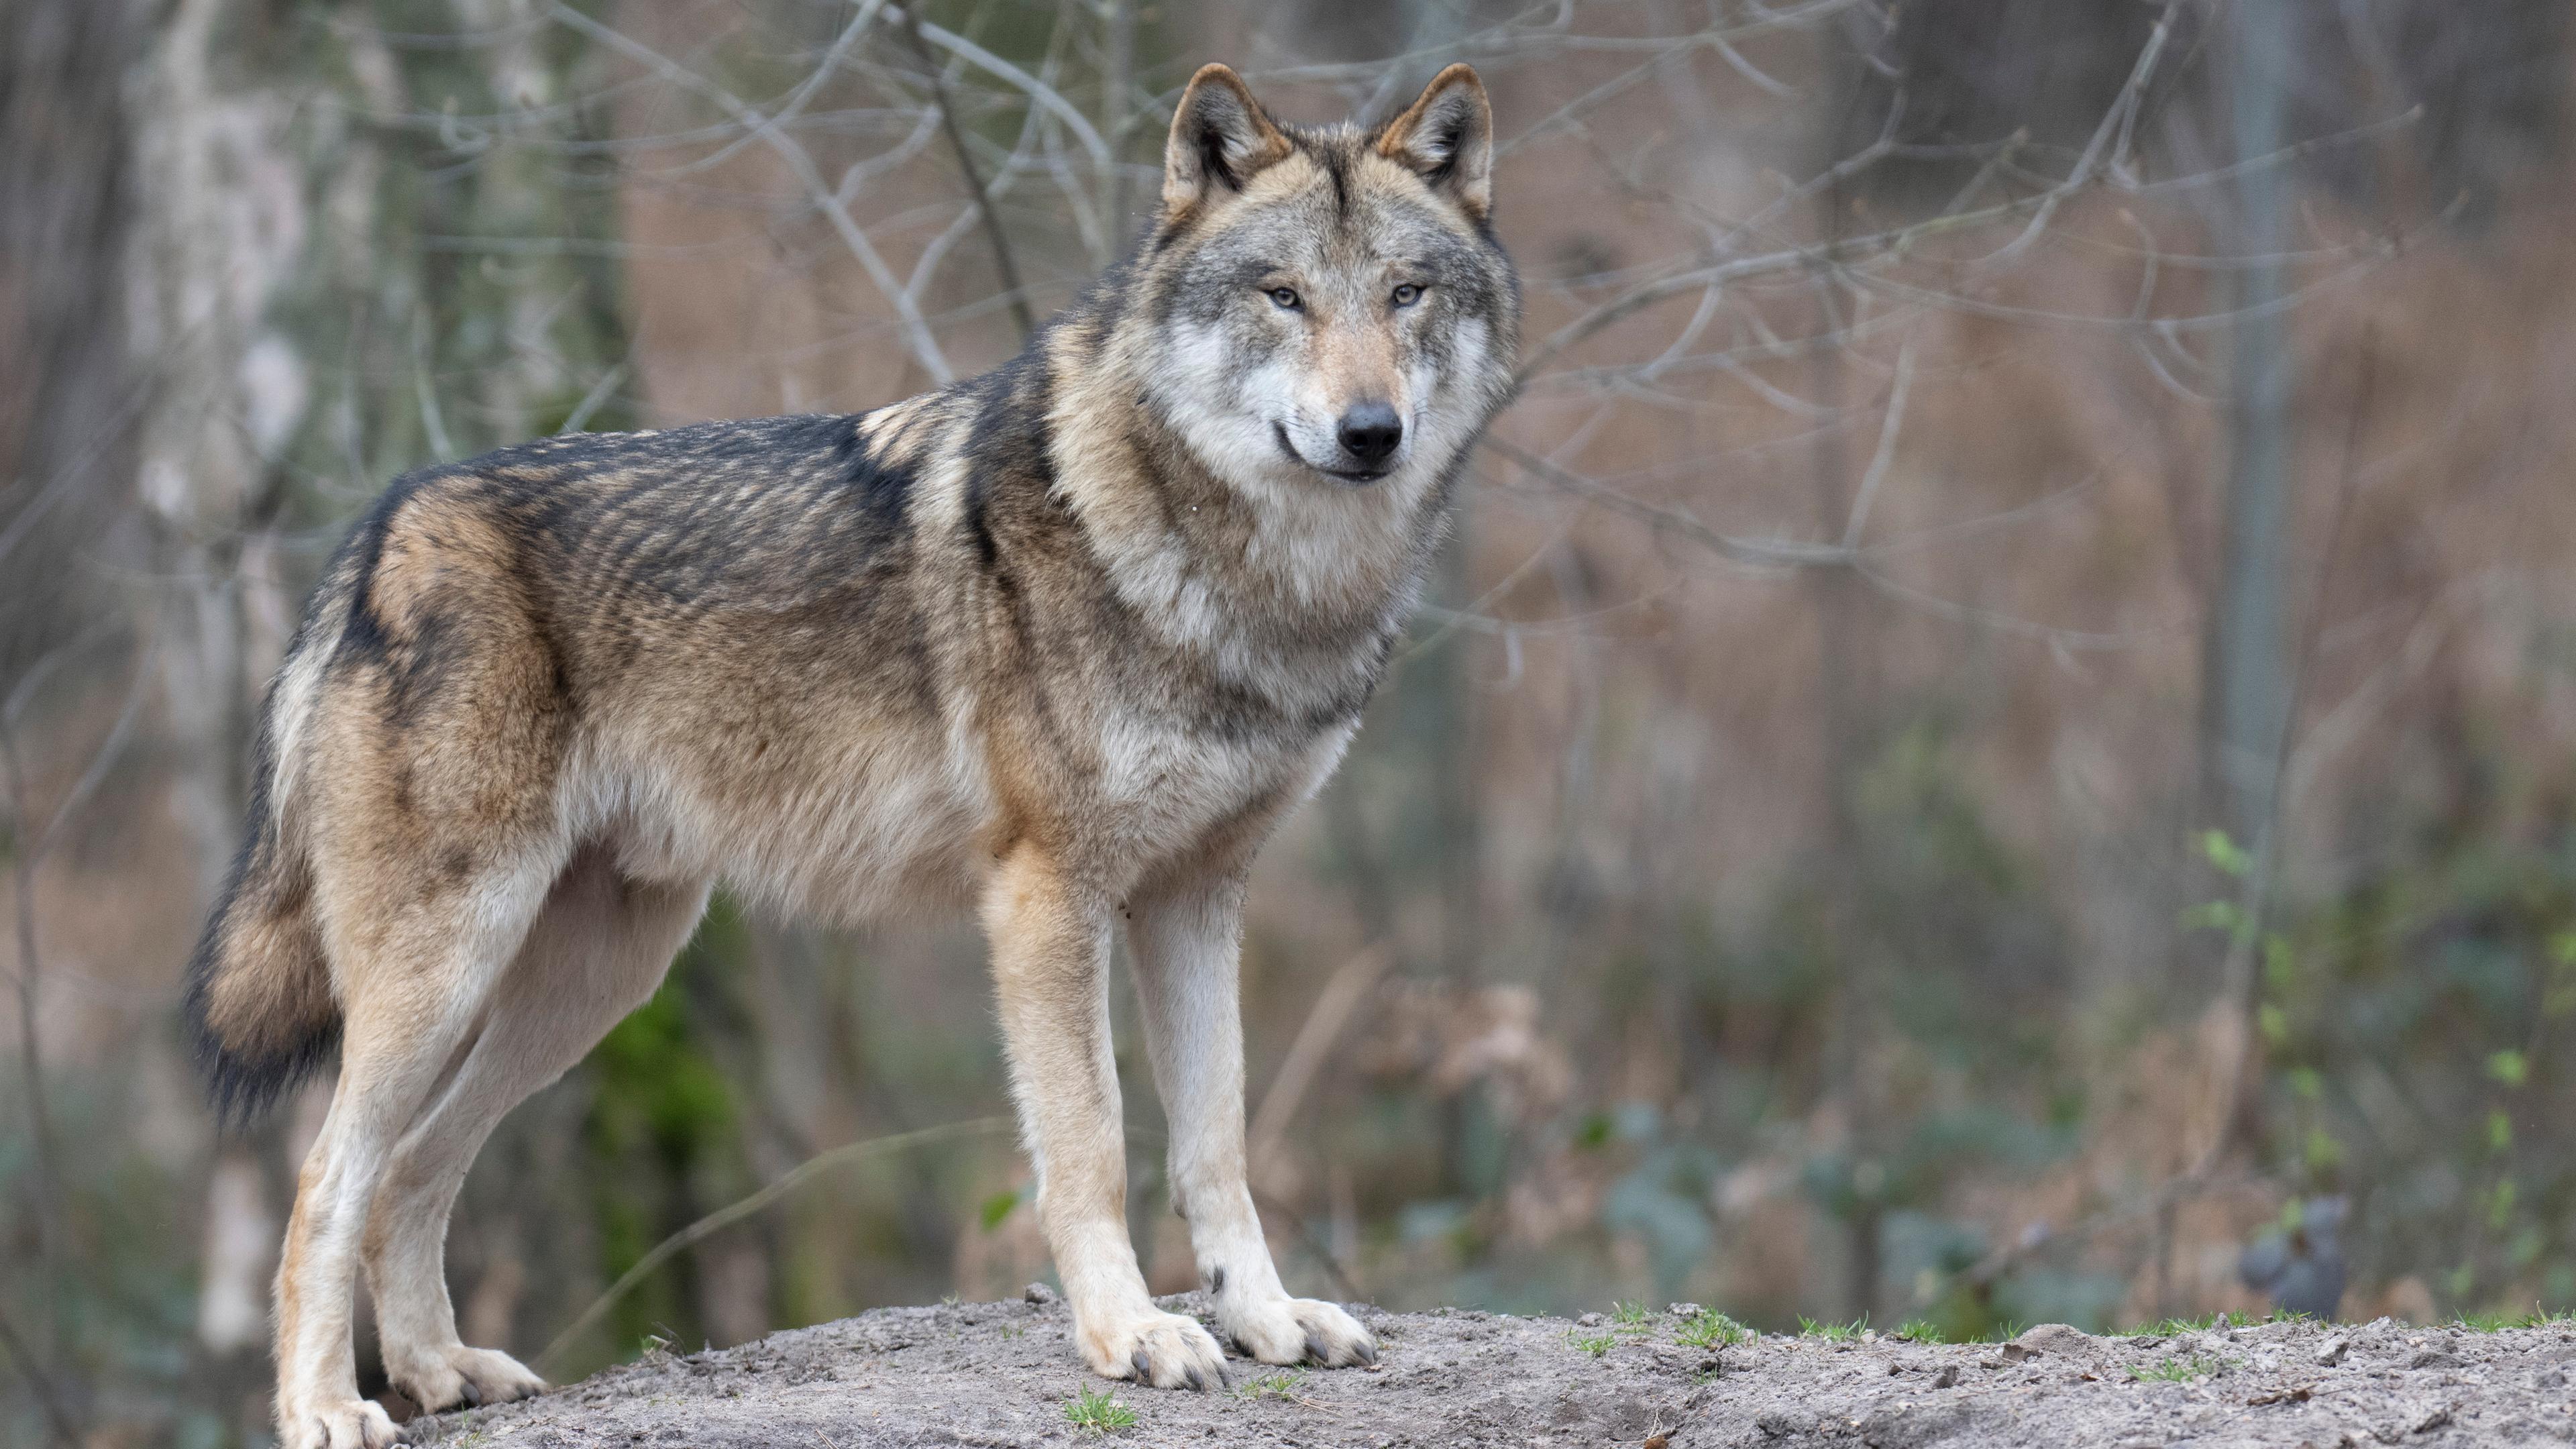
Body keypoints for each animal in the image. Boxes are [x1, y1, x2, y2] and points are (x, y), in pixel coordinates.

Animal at [191, 62, 1514, 1433]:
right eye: (1283, 295)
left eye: (1405, 293)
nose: (1371, 431)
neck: (1245, 586)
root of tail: (378, 532)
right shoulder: (1049, 896)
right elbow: (1093, 1144)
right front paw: (1130, 1334)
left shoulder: (1198, 897)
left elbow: (1216, 1142)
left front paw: (1265, 1318)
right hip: (451, 969)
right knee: (326, 1182)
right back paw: (328, 1410)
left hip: (592, 983)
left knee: (412, 1170)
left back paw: (444, 1371)